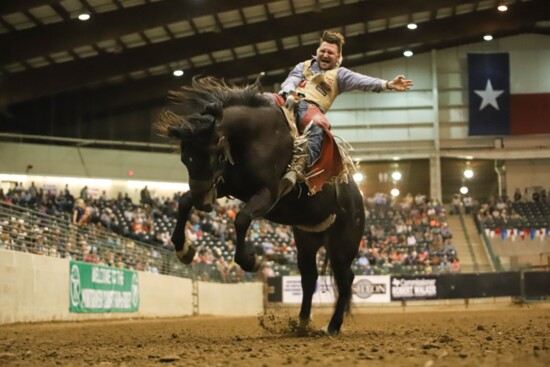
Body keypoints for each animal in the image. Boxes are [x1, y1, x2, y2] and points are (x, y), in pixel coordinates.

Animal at [156, 76, 366, 334]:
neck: (256, 137)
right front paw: (183, 248)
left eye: (214, 153)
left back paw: (333, 326)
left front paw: (250, 260)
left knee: (345, 280)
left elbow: (241, 219)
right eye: (185, 158)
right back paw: (302, 322)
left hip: (342, 246)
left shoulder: (267, 194)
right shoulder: (228, 185)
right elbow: (184, 201)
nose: (203, 203)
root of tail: (357, 197)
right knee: (310, 278)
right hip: (307, 241)